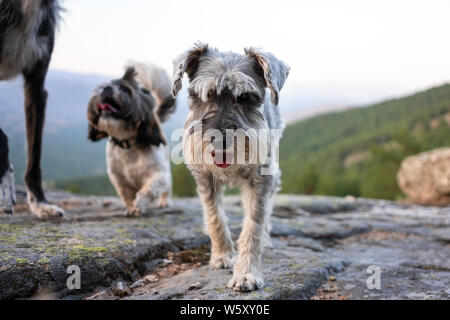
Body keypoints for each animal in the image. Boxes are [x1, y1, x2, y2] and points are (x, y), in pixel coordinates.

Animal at [87, 62, 175, 216]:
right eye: (102, 86)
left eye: (125, 89)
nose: (106, 88)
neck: (127, 145)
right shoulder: (120, 181)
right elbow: (127, 195)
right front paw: (130, 207)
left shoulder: (159, 175)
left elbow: (149, 189)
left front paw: (138, 205)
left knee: (167, 189)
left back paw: (164, 201)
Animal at [171, 43, 290, 292]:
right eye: (206, 95)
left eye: (244, 97)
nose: (220, 140)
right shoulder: (205, 178)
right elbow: (215, 216)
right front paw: (221, 255)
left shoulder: (260, 181)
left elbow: (253, 226)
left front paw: (246, 274)